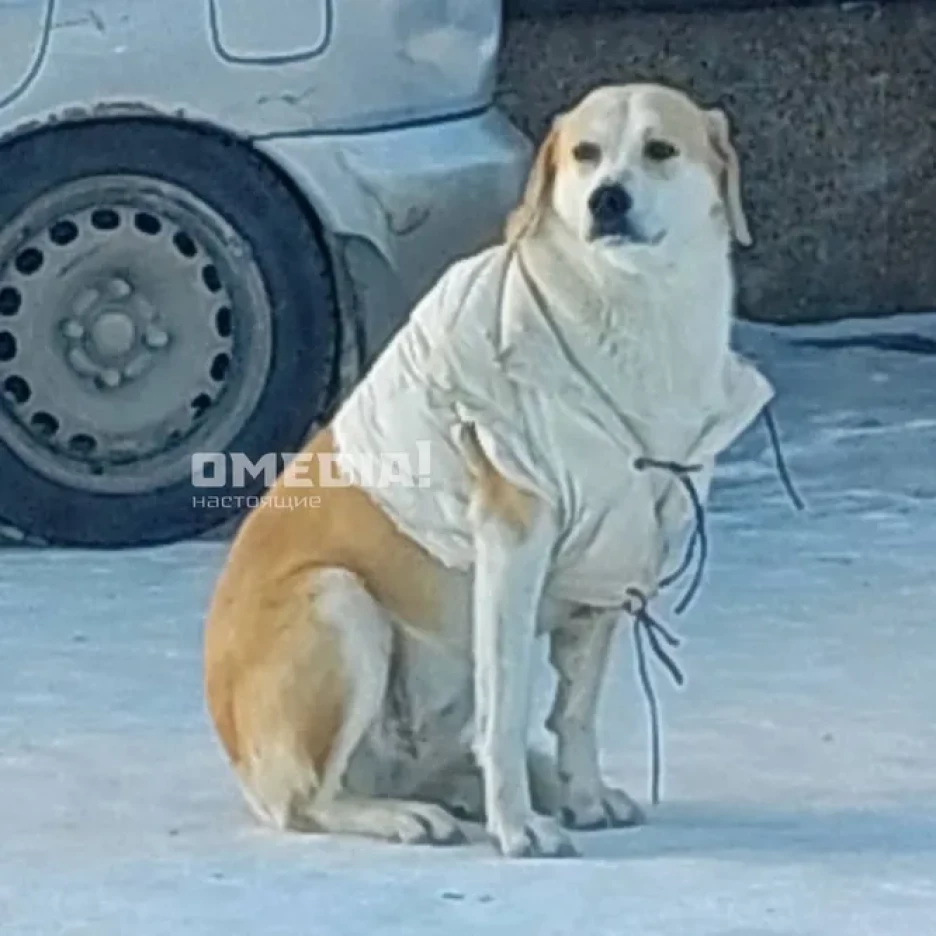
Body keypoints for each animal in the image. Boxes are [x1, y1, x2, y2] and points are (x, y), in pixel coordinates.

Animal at [205, 84, 776, 860]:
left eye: (660, 149)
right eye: (585, 153)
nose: (607, 199)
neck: (636, 316)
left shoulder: (615, 561)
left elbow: (576, 711)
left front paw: (585, 798)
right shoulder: (512, 549)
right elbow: (507, 712)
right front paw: (519, 829)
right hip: (340, 601)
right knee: (312, 800)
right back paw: (402, 816)